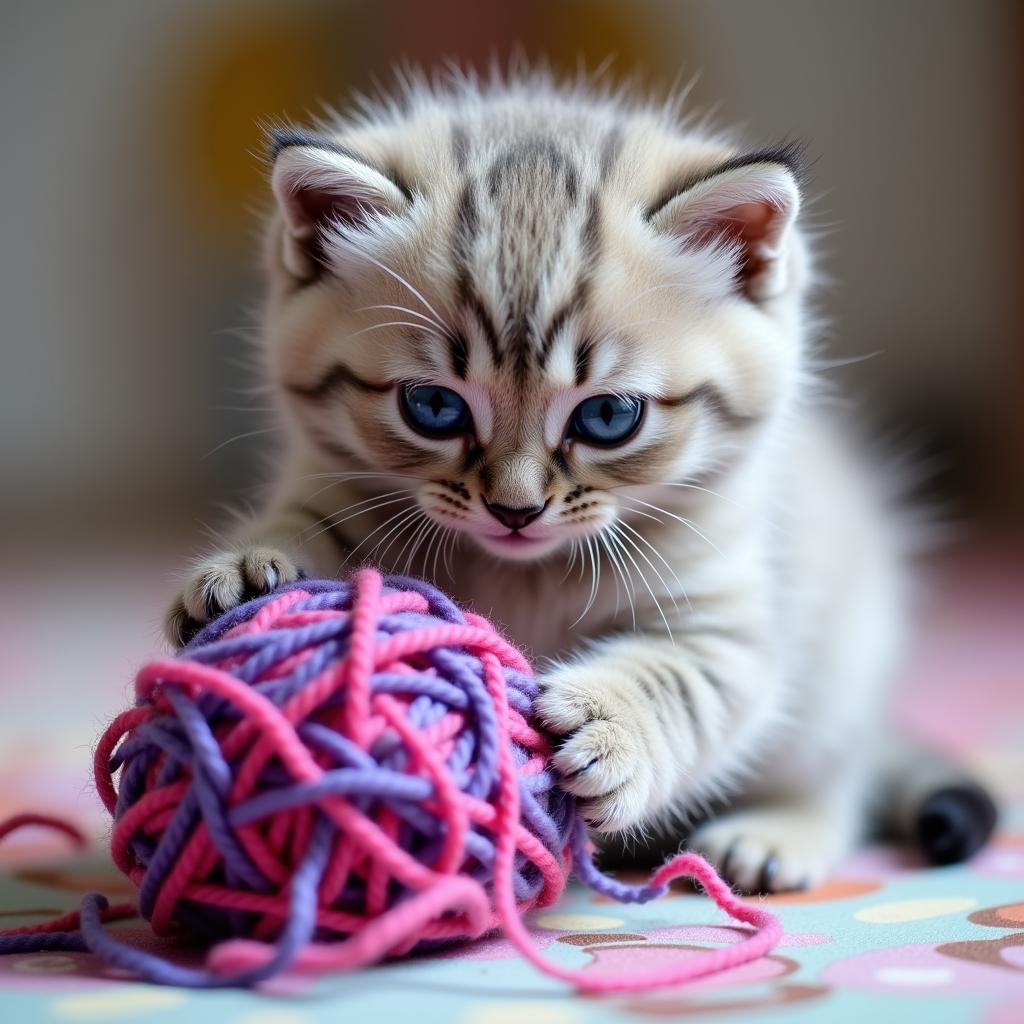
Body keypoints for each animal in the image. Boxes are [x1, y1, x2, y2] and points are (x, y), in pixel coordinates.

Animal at [165, 70, 991, 888]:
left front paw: (609, 728)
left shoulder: (732, 620)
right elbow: (311, 525)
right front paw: (253, 566)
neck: (524, 572)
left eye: (608, 417)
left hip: (844, 666)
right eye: (432, 407)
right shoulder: (335, 483)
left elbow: (685, 680)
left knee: (837, 774)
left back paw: (777, 833)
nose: (515, 509)